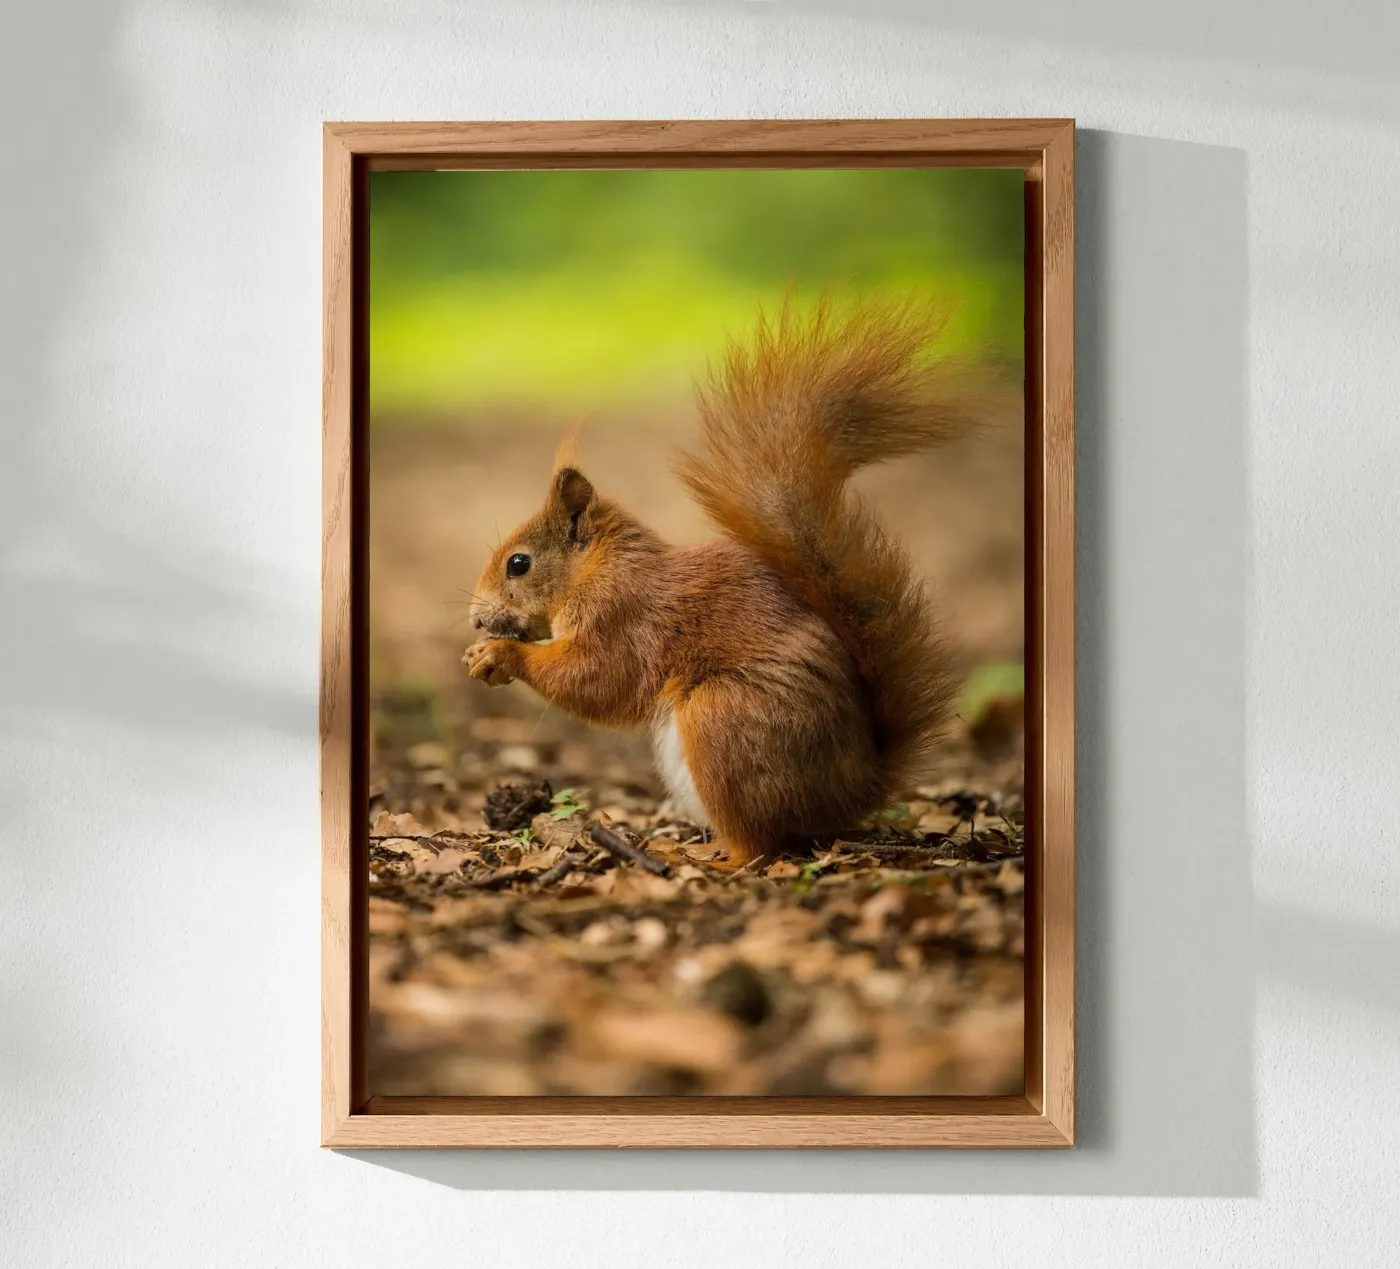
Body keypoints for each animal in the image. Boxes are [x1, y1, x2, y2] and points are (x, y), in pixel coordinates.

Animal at [464, 299, 992, 870]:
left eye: (518, 564)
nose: (475, 618)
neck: (599, 569)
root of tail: (853, 791)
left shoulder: (624, 617)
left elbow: (598, 680)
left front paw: (500, 654)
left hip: (724, 720)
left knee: (760, 846)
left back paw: (701, 857)